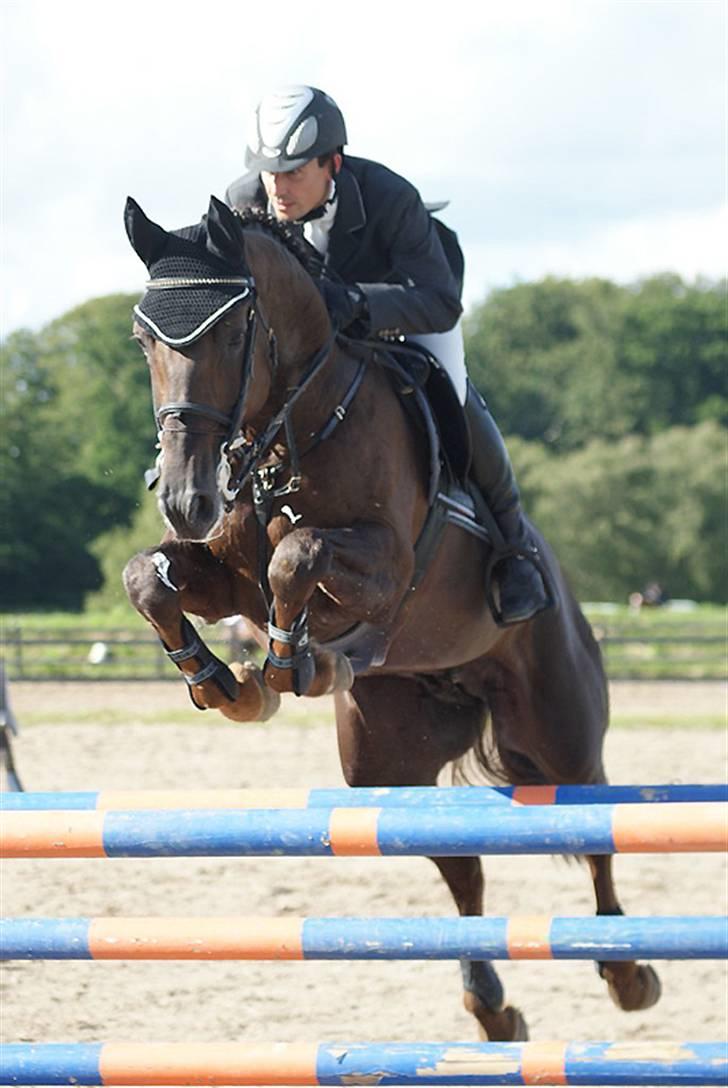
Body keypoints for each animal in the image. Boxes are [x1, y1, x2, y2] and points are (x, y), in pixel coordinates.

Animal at [123, 193, 657, 1035]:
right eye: (144, 339)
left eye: (236, 332)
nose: (184, 498)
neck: (293, 428)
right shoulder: (227, 578)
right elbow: (150, 576)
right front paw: (223, 682)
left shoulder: (386, 564)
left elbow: (296, 557)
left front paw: (284, 664)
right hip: (388, 761)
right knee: (457, 864)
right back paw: (490, 1004)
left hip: (559, 722)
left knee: (592, 819)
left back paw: (626, 970)